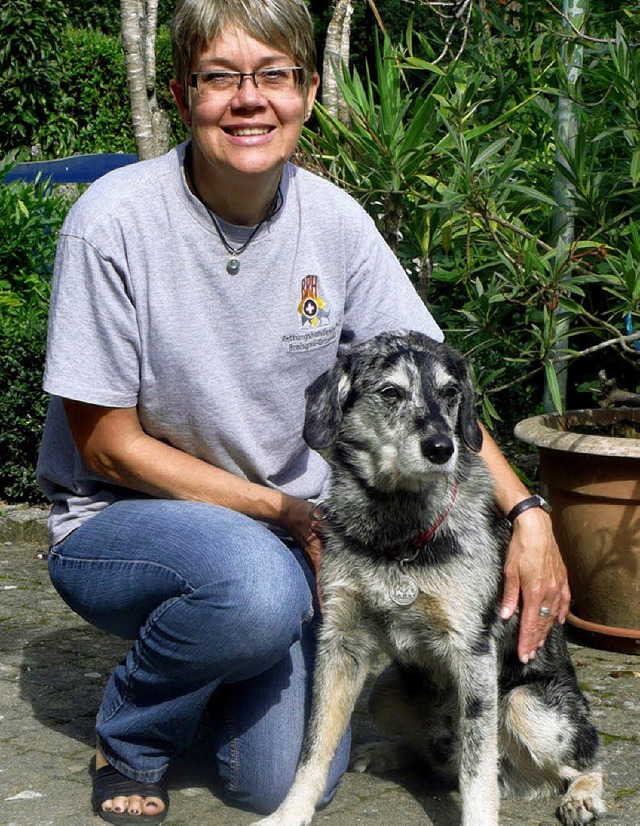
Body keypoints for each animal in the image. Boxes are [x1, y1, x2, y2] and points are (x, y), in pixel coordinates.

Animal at [251, 328, 604, 824]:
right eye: (390, 392)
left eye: (451, 393)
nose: (441, 448)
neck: (397, 532)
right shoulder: (342, 643)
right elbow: (313, 748)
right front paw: (289, 814)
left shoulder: (472, 655)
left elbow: (477, 776)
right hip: (384, 688)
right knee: (430, 755)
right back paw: (382, 752)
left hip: (526, 705)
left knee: (583, 761)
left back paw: (582, 796)